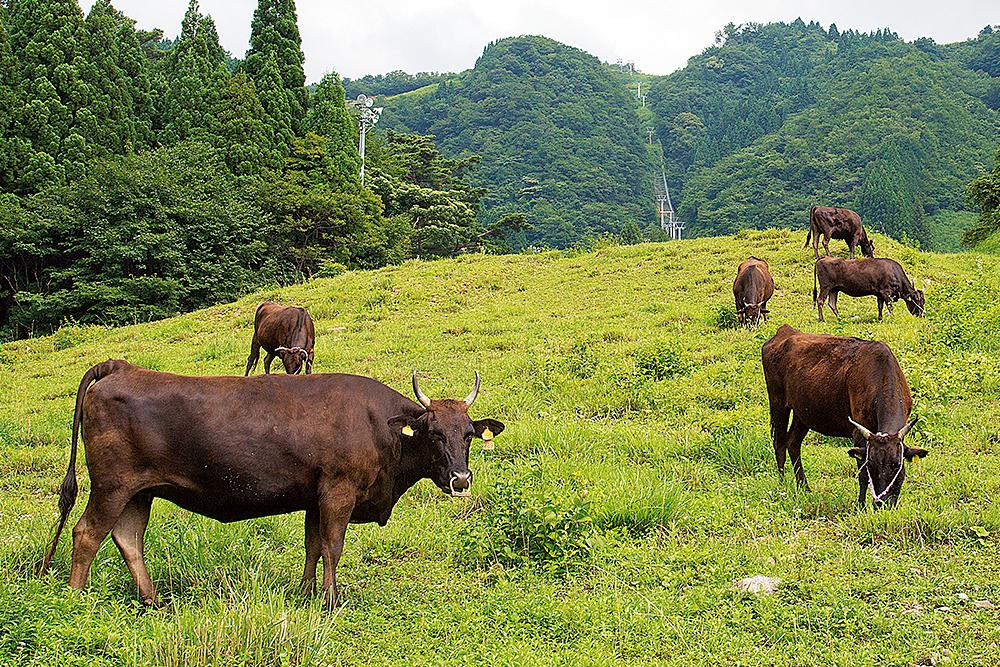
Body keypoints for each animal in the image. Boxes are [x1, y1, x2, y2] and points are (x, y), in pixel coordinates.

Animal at [37, 362, 508, 608]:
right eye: (434, 433)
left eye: (469, 433)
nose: (461, 479)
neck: (377, 425)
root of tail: (120, 367)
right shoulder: (338, 491)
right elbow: (332, 547)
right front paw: (331, 602)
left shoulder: (315, 497)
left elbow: (313, 547)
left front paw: (306, 595)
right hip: (112, 485)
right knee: (86, 534)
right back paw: (73, 602)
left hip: (138, 491)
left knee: (127, 538)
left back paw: (152, 601)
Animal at [760, 326, 924, 508]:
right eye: (871, 464)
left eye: (896, 465)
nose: (882, 503)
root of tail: (783, 331)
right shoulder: (859, 433)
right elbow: (862, 475)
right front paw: (861, 506)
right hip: (778, 401)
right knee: (780, 442)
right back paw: (783, 485)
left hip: (802, 412)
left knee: (793, 443)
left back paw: (804, 488)